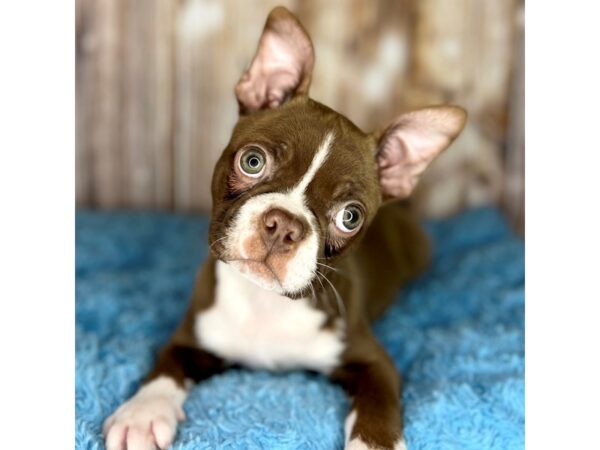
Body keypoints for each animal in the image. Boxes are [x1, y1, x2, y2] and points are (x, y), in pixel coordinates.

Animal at [104, 7, 468, 450]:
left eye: (350, 216)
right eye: (253, 161)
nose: (283, 228)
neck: (267, 304)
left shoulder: (372, 360)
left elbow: (378, 407)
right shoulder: (192, 336)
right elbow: (164, 370)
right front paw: (141, 414)